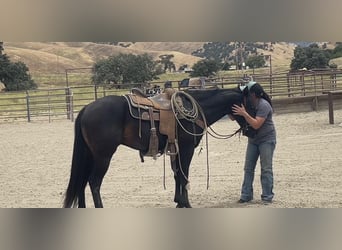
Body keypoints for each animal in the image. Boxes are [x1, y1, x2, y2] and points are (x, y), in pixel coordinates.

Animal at [62, 87, 247, 208]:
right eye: (250, 103)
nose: (249, 129)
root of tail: (86, 108)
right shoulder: (186, 149)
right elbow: (184, 175)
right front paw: (186, 203)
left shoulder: (175, 149)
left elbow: (177, 174)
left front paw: (178, 202)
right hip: (103, 157)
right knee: (94, 182)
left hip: (90, 155)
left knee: (82, 182)